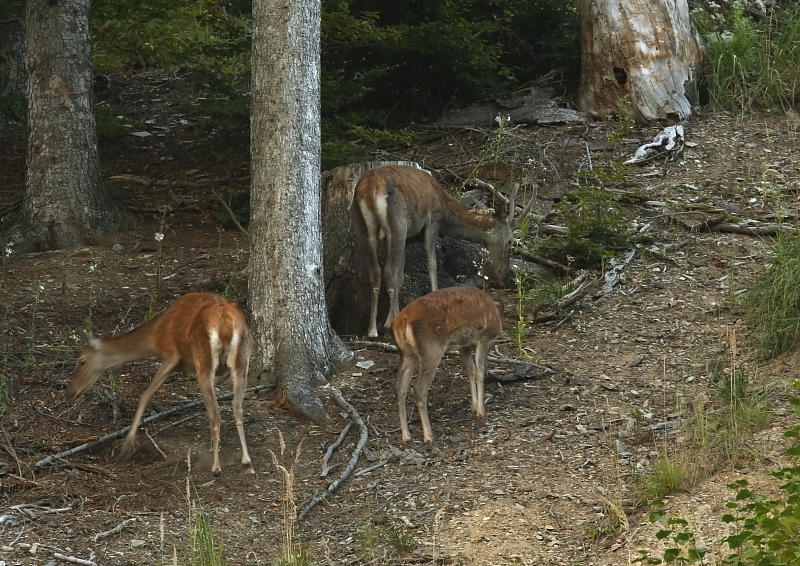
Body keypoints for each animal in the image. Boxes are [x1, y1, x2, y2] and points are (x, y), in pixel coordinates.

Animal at [66, 296, 255, 478]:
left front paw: (126, 448)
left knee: (216, 409)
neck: (155, 336)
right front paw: (213, 443)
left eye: (82, 361)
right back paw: (247, 463)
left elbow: (145, 396)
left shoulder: (171, 355)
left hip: (204, 359)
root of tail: (224, 325)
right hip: (242, 357)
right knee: (236, 405)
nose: (70, 393)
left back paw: (216, 467)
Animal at [354, 162, 532, 340]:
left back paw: (372, 330)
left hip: (364, 226)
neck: (446, 209)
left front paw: (386, 323)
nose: (502, 273)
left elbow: (401, 278)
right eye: (510, 241)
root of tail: (371, 186)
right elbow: (431, 264)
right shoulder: (432, 222)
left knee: (375, 272)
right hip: (398, 224)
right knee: (389, 271)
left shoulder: (410, 238)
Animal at [390, 286, 504, 446]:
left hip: (408, 354)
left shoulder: (464, 345)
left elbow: (470, 370)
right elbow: (480, 372)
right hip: (431, 349)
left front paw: (474, 408)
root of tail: (401, 320)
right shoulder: (485, 337)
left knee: (399, 386)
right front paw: (482, 414)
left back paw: (407, 436)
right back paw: (429, 437)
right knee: (419, 388)